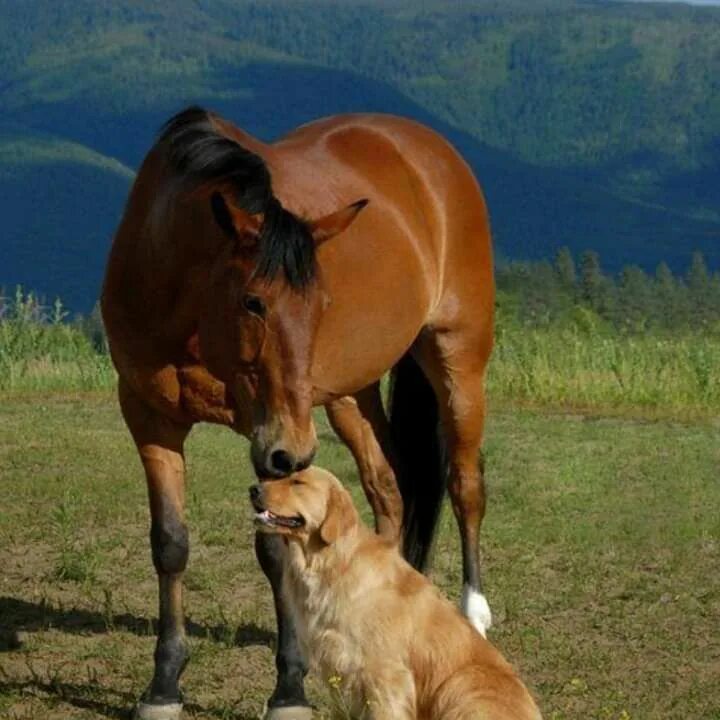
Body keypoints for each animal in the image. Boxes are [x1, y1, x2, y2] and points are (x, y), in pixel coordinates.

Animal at [101, 107, 496, 720]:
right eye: (253, 302)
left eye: (322, 304)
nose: (297, 452)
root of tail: (431, 150)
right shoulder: (149, 418)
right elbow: (169, 542)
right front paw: (164, 684)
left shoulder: (269, 433)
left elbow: (272, 548)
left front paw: (289, 688)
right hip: (348, 398)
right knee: (390, 489)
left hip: (456, 359)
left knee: (464, 484)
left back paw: (474, 615)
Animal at [250, 466, 544, 720]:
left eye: (297, 482)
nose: (253, 489)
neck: (332, 561)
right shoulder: (337, 668)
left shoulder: (387, 676)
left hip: (459, 683)